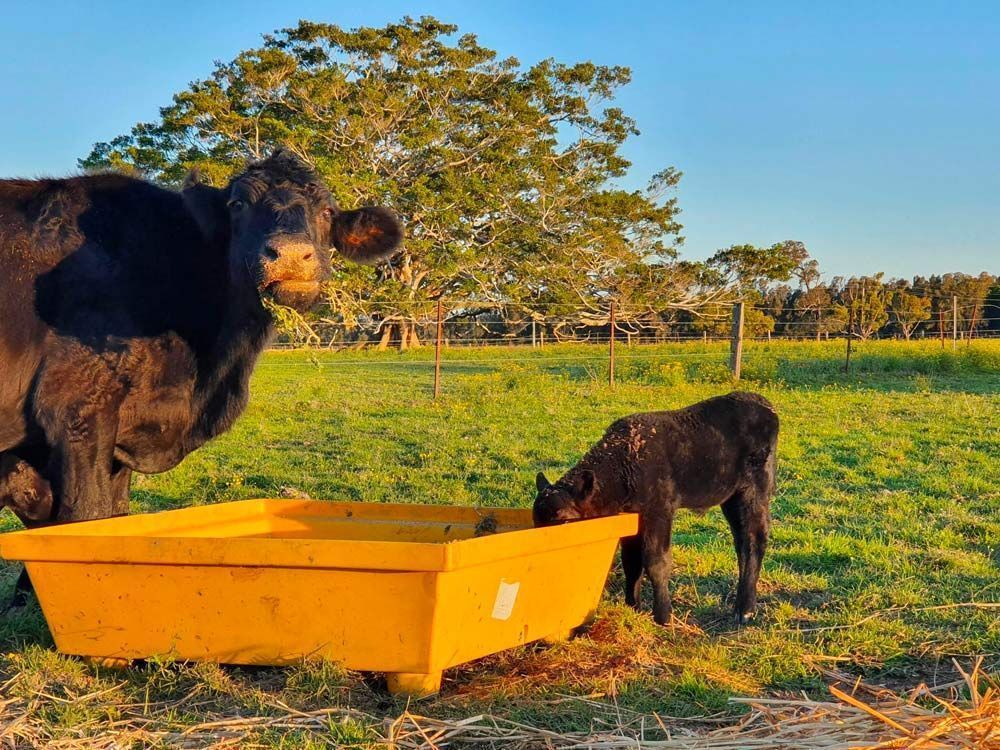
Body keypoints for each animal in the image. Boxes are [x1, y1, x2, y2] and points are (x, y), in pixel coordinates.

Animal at [0, 149, 402, 601]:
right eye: (238, 204)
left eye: (328, 211)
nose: (291, 256)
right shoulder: (78, 410)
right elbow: (87, 517)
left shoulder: (119, 435)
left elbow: (116, 519)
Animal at [533, 392, 778, 626]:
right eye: (536, 520)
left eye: (563, 519)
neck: (625, 461)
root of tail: (763, 404)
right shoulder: (633, 519)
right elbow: (631, 561)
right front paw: (633, 607)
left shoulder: (659, 512)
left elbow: (656, 561)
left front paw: (663, 616)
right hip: (731, 499)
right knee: (741, 542)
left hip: (753, 493)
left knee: (754, 540)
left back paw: (744, 611)